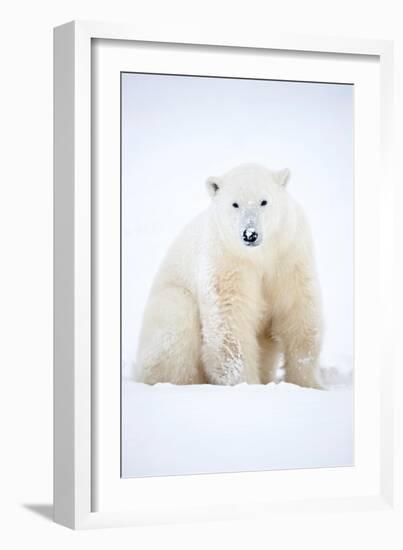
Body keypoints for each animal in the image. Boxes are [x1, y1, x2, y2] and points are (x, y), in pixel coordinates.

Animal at [136, 164, 326, 388]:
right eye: (235, 204)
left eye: (264, 201)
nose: (250, 234)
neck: (260, 255)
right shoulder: (227, 259)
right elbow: (230, 321)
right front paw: (246, 384)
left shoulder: (289, 255)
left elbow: (299, 312)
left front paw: (308, 384)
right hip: (169, 302)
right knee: (176, 320)